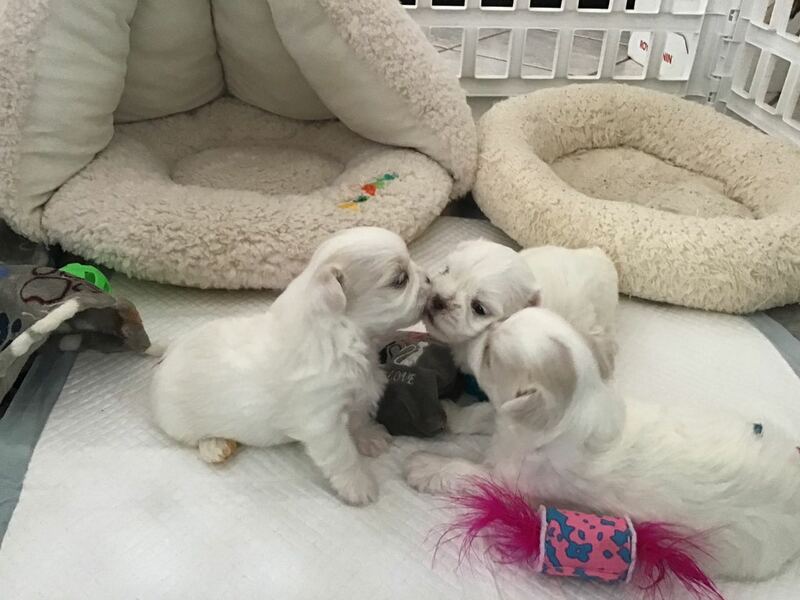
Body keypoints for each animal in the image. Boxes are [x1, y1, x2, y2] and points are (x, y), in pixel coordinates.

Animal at [151, 227, 430, 505]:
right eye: (400, 280)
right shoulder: (323, 423)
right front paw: (359, 486)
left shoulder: (357, 395)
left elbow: (359, 418)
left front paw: (370, 438)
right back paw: (215, 446)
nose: (429, 279)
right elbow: (344, 457)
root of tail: (171, 350)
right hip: (180, 422)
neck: (342, 333)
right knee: (195, 440)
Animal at [406, 307, 800, 580]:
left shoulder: (514, 481)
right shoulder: (506, 421)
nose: (466, 340)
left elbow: (467, 471)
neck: (574, 407)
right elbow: (484, 415)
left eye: (488, 353)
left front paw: (425, 465)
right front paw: (451, 414)